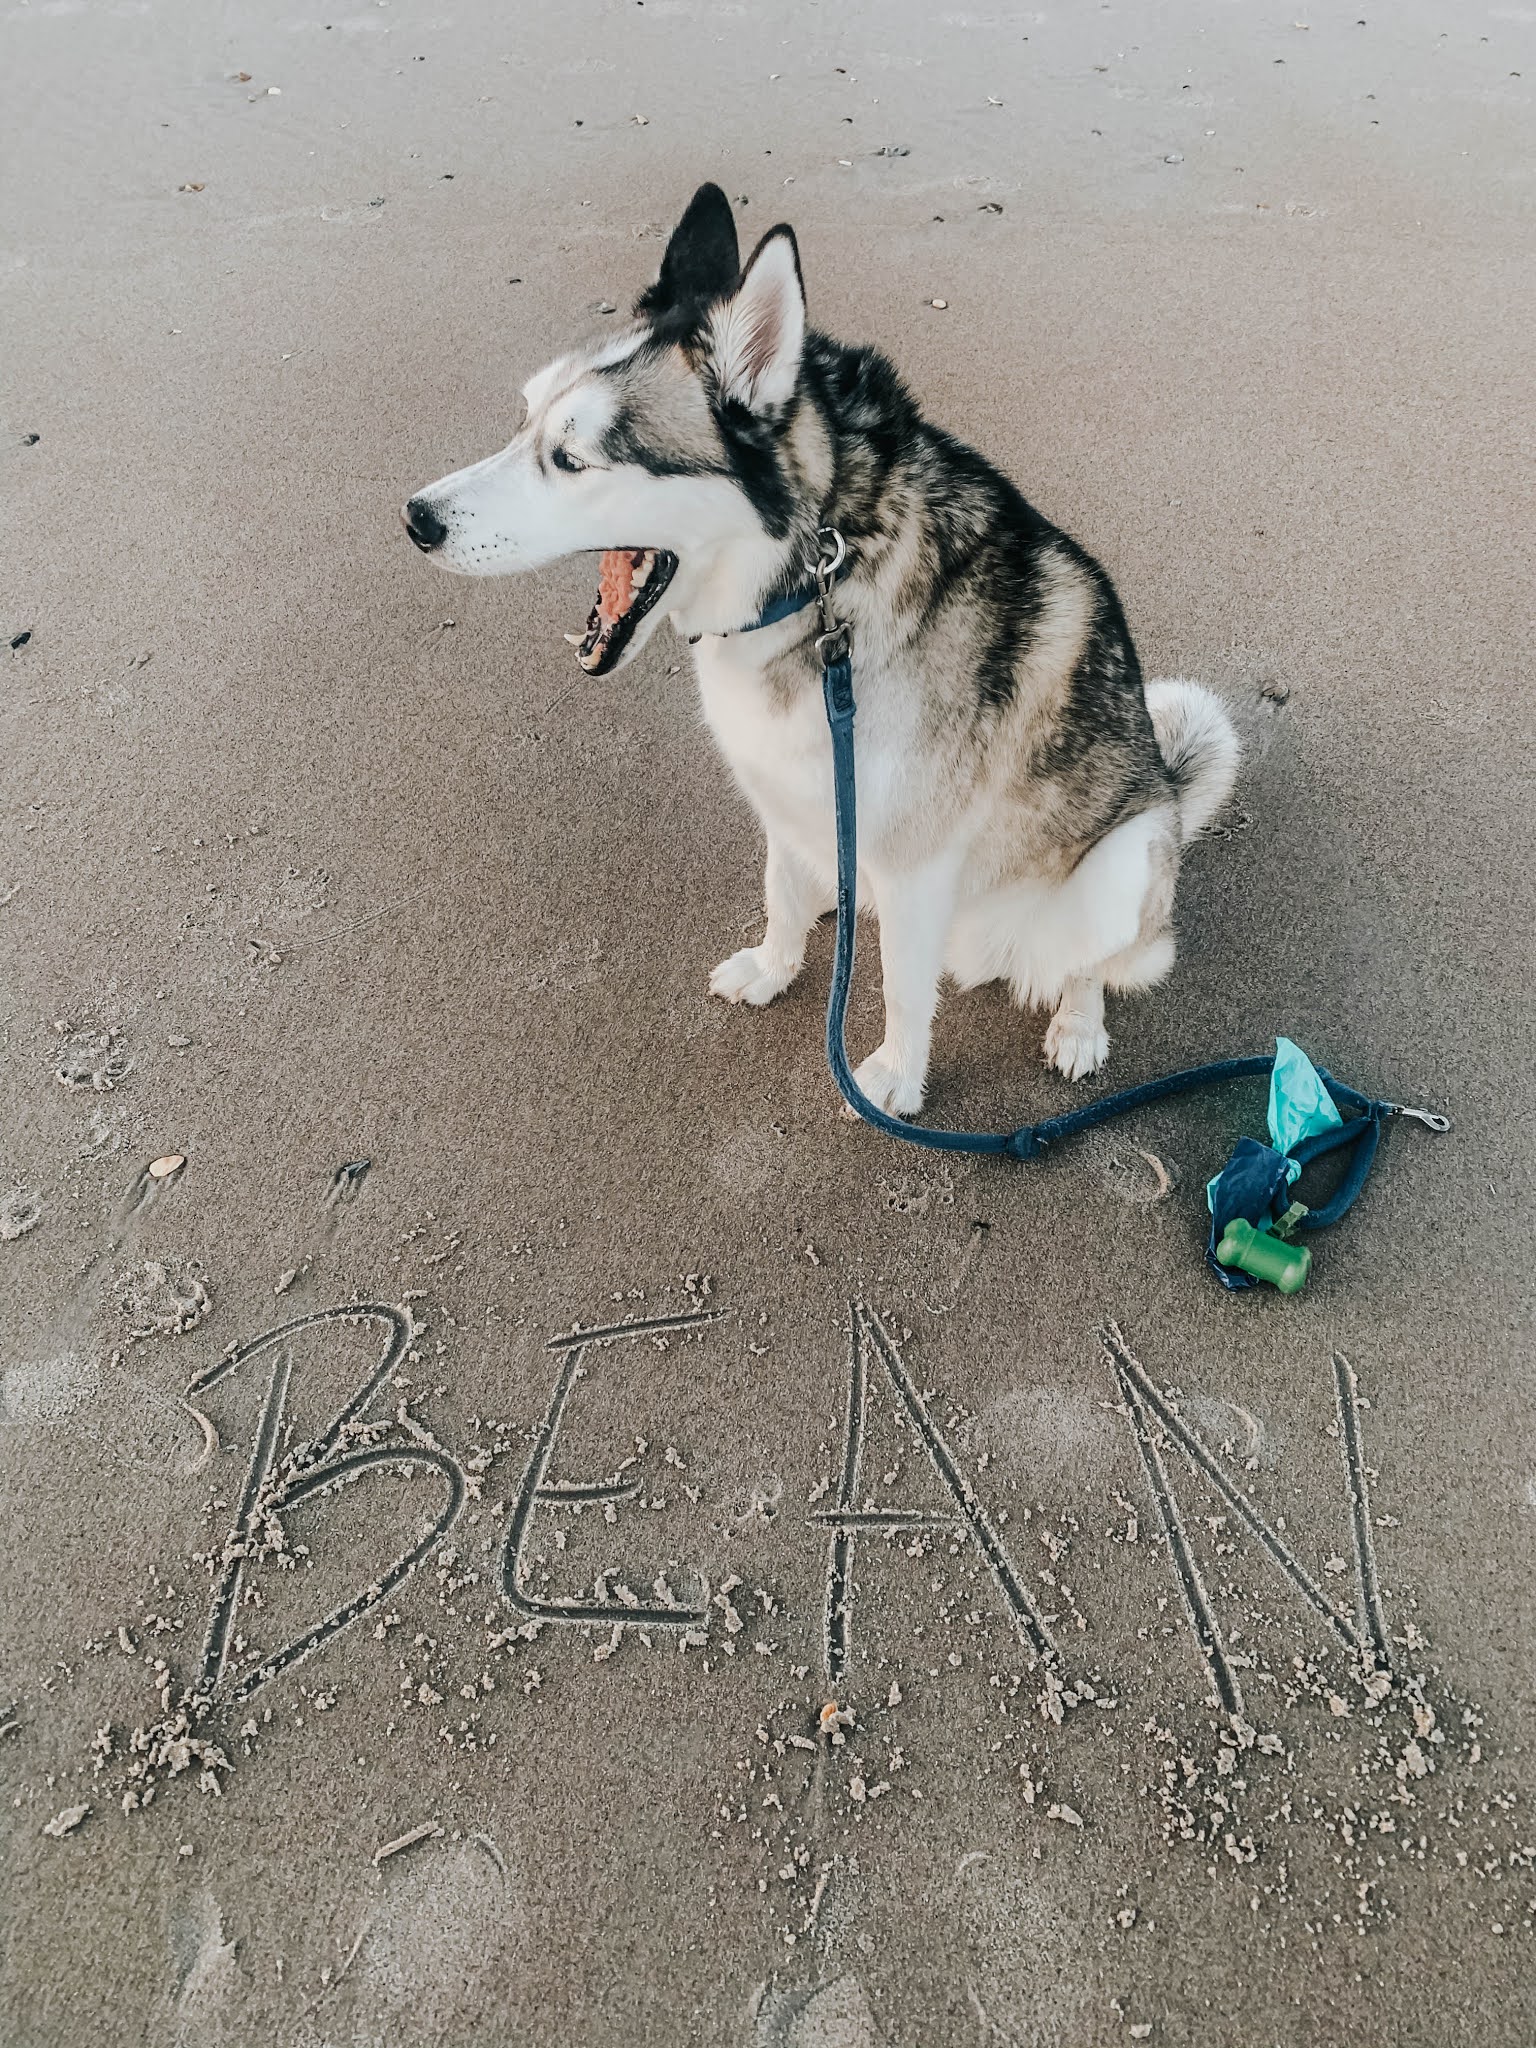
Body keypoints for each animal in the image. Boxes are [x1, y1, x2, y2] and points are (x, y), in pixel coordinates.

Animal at [405, 184, 1236, 1114]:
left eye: (573, 459)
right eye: (525, 421)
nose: (417, 519)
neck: (812, 579)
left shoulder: (918, 863)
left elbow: (904, 987)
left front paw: (895, 1078)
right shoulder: (779, 791)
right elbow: (779, 895)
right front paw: (776, 967)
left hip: (1122, 865)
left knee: (1089, 963)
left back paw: (1077, 1023)